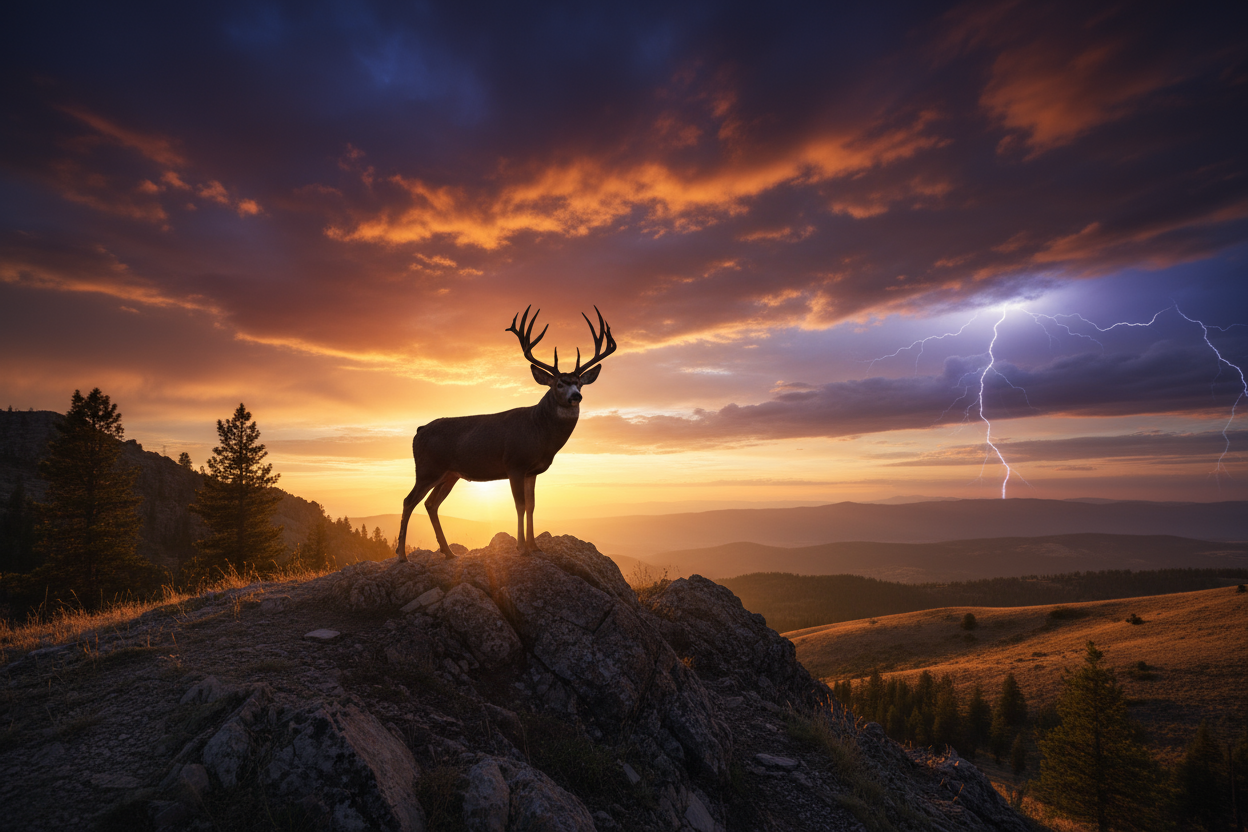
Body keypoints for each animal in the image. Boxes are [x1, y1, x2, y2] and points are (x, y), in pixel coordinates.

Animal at [395, 306, 617, 560]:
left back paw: (449, 552)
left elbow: (531, 505)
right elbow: (519, 505)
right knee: (409, 501)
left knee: (431, 504)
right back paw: (402, 555)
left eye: (579, 383)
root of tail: (418, 431)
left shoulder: (532, 471)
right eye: (559, 384)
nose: (575, 396)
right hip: (427, 468)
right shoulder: (514, 464)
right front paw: (521, 548)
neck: (539, 432)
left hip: (450, 474)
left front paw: (535, 546)